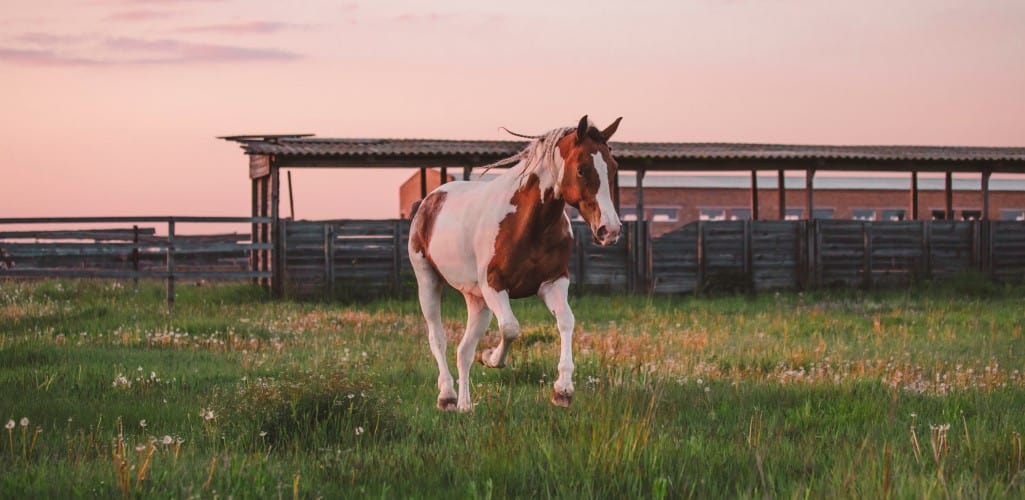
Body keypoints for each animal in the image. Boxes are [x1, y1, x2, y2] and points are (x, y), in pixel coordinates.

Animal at [408, 115, 622, 411]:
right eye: (581, 169)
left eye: (613, 167)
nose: (610, 230)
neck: (528, 223)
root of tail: (429, 200)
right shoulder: (494, 285)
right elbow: (511, 327)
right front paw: (490, 357)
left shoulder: (554, 282)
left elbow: (566, 321)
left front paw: (563, 390)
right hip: (428, 281)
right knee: (437, 338)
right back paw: (447, 396)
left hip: (476, 300)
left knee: (464, 350)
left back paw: (465, 406)